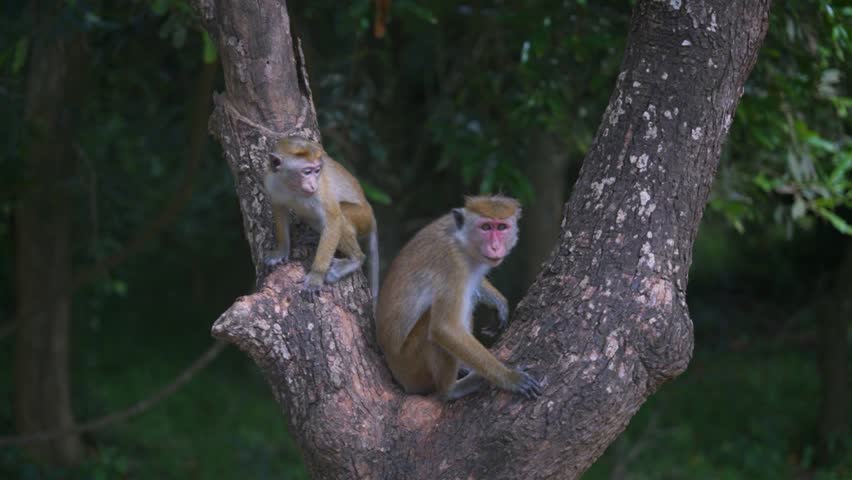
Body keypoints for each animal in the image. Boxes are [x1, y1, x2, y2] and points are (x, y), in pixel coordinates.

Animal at [263, 136, 379, 303]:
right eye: (307, 172)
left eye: (317, 171)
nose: (312, 185)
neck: (292, 186)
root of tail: (372, 217)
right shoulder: (272, 182)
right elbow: (279, 209)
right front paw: (281, 250)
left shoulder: (321, 189)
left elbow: (334, 219)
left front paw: (315, 277)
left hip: (363, 217)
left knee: (342, 214)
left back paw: (355, 260)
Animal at [375, 195, 542, 401]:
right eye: (486, 227)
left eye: (502, 227)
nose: (495, 247)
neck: (462, 241)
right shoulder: (452, 265)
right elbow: (445, 328)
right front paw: (510, 378)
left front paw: (498, 302)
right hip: (411, 368)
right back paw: (451, 390)